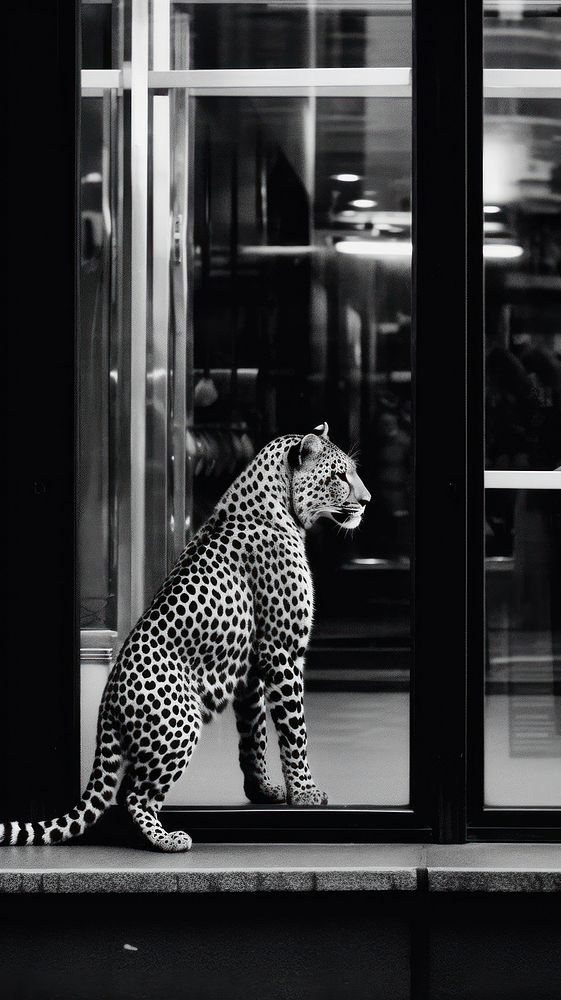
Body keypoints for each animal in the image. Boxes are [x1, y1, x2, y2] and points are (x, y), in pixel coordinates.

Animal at [1, 422, 372, 852]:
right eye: (340, 476)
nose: (367, 501)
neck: (280, 504)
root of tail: (107, 702)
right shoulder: (282, 651)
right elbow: (294, 731)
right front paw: (307, 793)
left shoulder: (250, 667)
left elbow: (254, 734)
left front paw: (262, 790)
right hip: (182, 722)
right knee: (134, 795)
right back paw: (168, 839)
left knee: (126, 790)